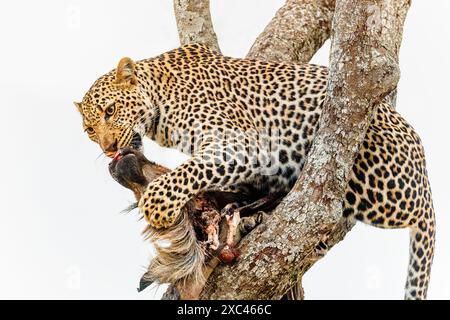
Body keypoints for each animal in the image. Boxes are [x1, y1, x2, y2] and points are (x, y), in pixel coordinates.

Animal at [74, 43, 436, 300]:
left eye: (111, 111)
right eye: (89, 129)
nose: (108, 148)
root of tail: (425, 180)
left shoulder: (239, 143)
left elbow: (191, 170)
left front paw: (158, 205)